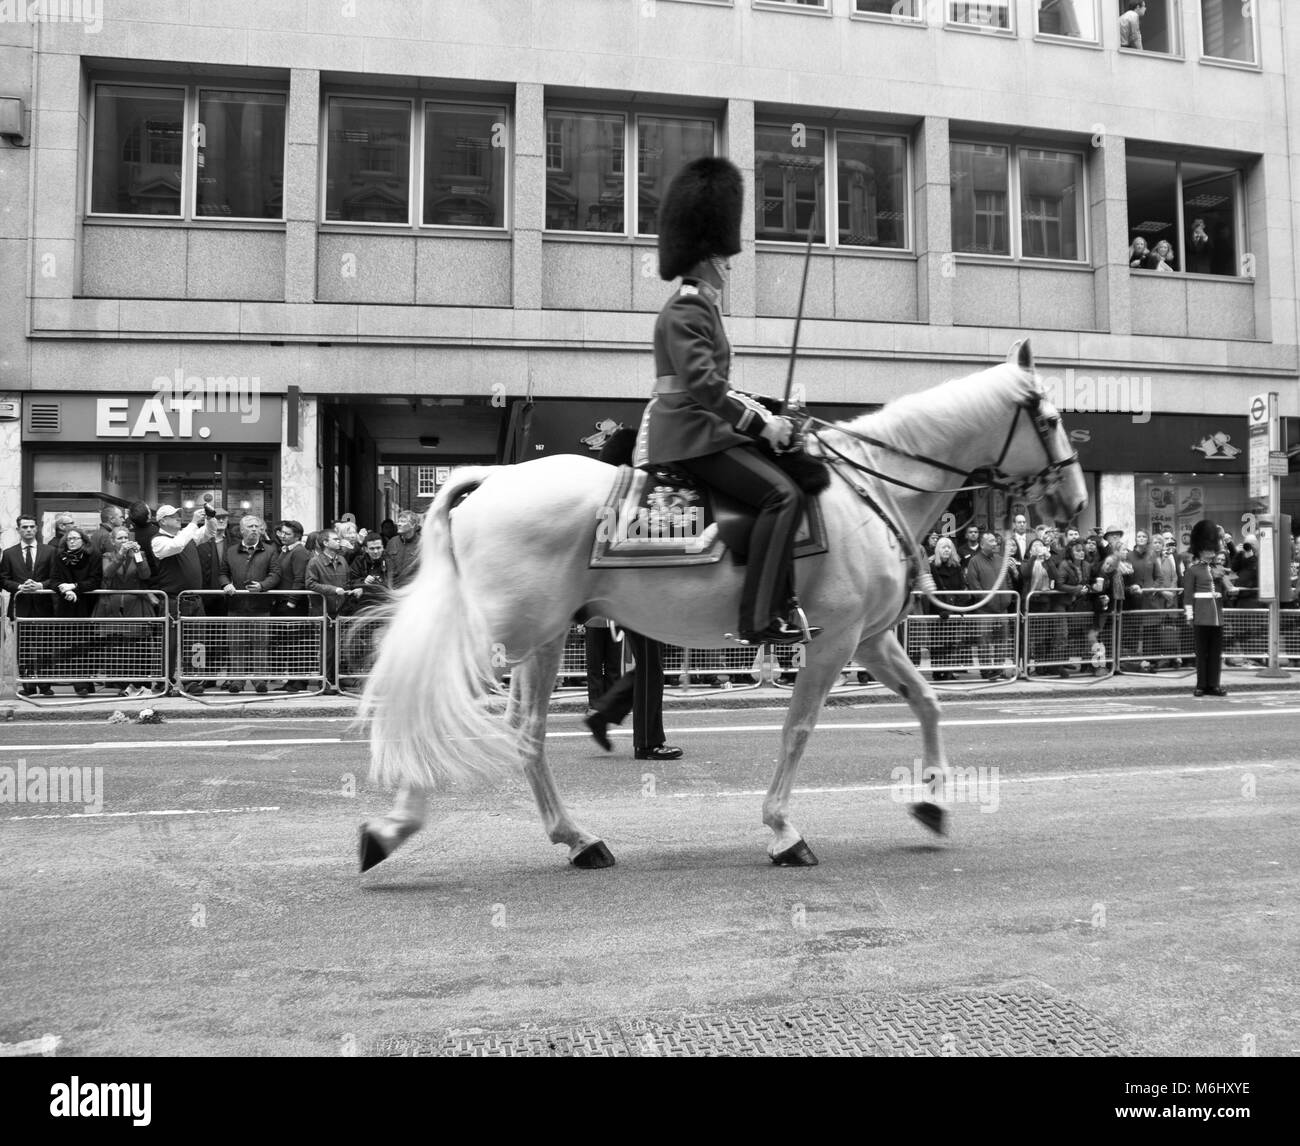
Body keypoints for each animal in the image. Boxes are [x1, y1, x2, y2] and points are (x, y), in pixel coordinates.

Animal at [356, 337, 1086, 867]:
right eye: (1050, 420)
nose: (1076, 502)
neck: (873, 490)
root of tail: (493, 480)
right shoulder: (834, 640)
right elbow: (798, 728)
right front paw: (783, 830)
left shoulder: (871, 639)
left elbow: (928, 703)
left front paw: (931, 804)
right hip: (506, 633)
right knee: (431, 706)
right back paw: (394, 827)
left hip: (541, 640)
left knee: (527, 734)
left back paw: (577, 838)